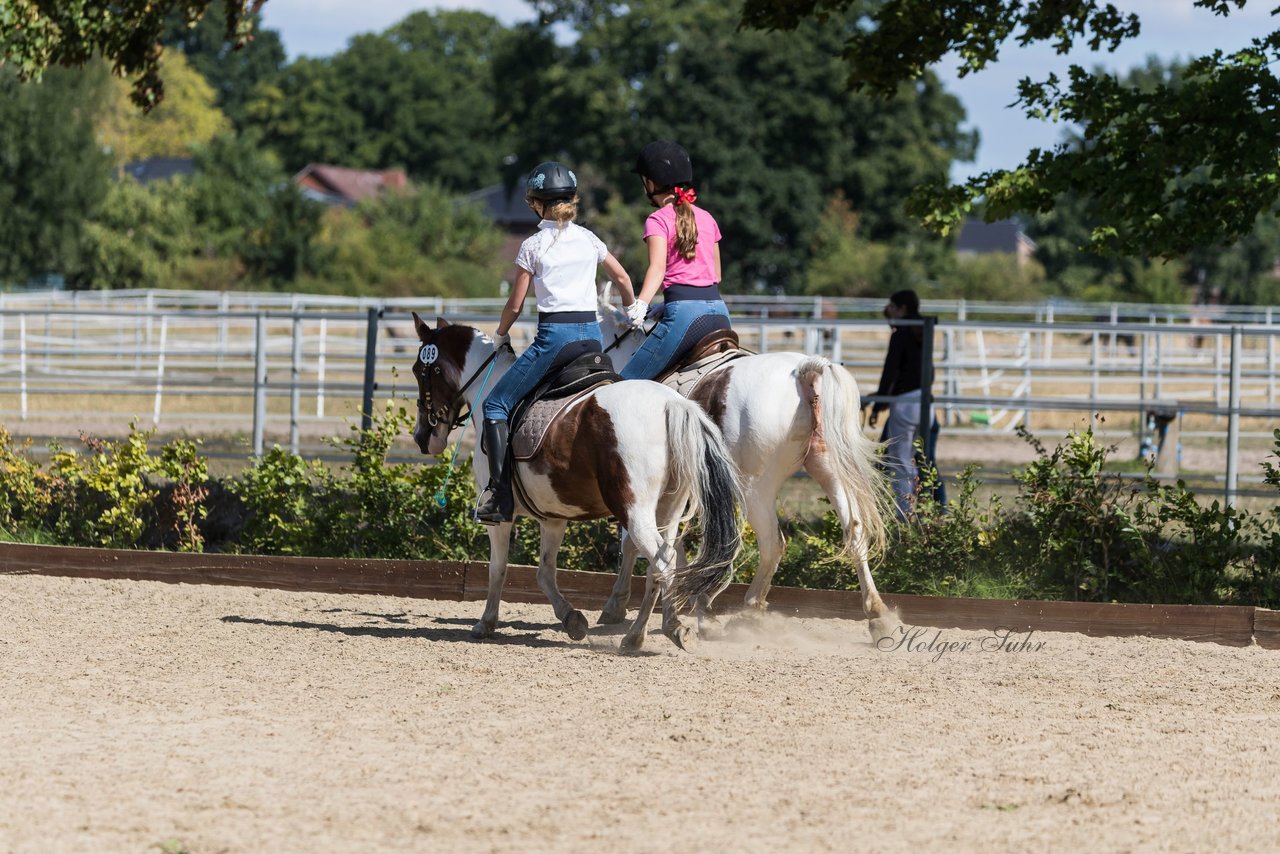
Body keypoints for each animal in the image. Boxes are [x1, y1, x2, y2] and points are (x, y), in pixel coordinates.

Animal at [409, 313, 747, 655]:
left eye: (420, 370)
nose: (423, 437)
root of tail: (671, 404)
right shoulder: (553, 517)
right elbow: (545, 573)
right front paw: (572, 620)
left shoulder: (499, 518)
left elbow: (498, 568)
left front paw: (486, 623)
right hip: (668, 512)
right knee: (665, 565)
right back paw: (663, 628)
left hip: (636, 513)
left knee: (662, 565)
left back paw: (642, 635)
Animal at [593, 300, 896, 640]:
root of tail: (805, 370)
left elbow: (636, 543)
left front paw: (618, 605)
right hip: (828, 470)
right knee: (854, 530)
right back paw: (876, 613)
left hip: (755, 489)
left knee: (772, 543)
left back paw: (748, 608)